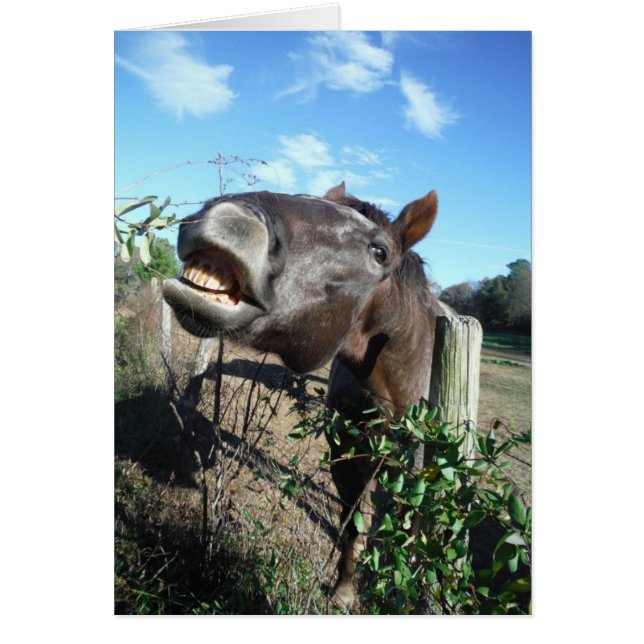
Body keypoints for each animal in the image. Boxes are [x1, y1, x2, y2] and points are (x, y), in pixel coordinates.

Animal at [163, 182, 445, 610]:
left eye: (379, 252)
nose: (231, 219)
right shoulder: (346, 461)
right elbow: (353, 528)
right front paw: (345, 591)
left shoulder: (413, 478)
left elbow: (405, 535)